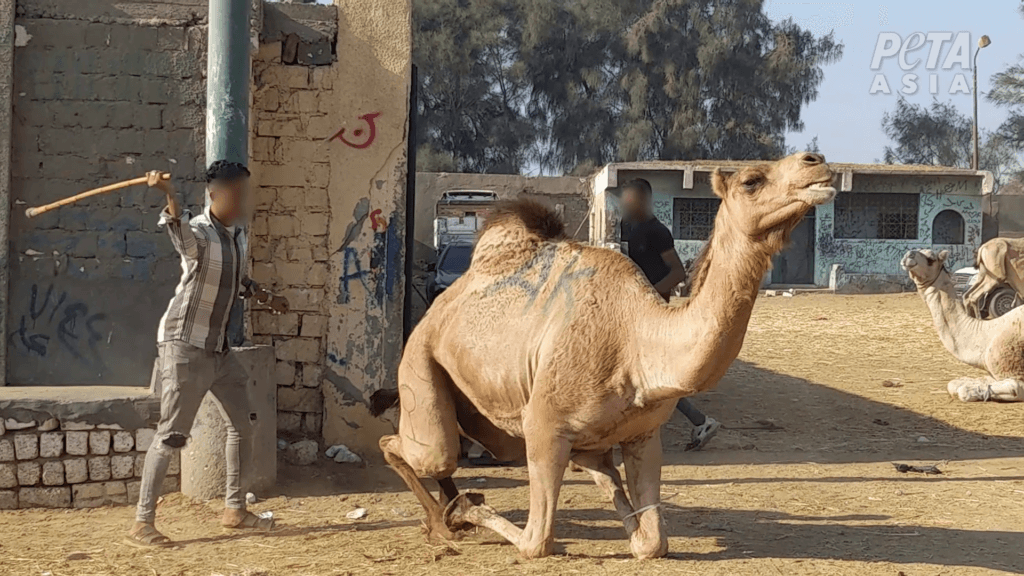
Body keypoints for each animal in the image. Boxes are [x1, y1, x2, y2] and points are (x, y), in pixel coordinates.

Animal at [378, 152, 836, 560]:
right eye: (752, 180)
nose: (816, 162)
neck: (638, 343)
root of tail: (435, 311)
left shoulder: (643, 435)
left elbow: (653, 543)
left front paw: (636, 532)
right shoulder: (543, 428)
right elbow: (536, 543)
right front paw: (467, 510)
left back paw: (446, 514)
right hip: (420, 367)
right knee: (414, 449)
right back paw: (443, 519)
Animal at [901, 249, 1024, 402]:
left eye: (931, 258)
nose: (908, 255)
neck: (986, 335)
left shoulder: (1012, 368)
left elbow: (1013, 388)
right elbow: (954, 384)